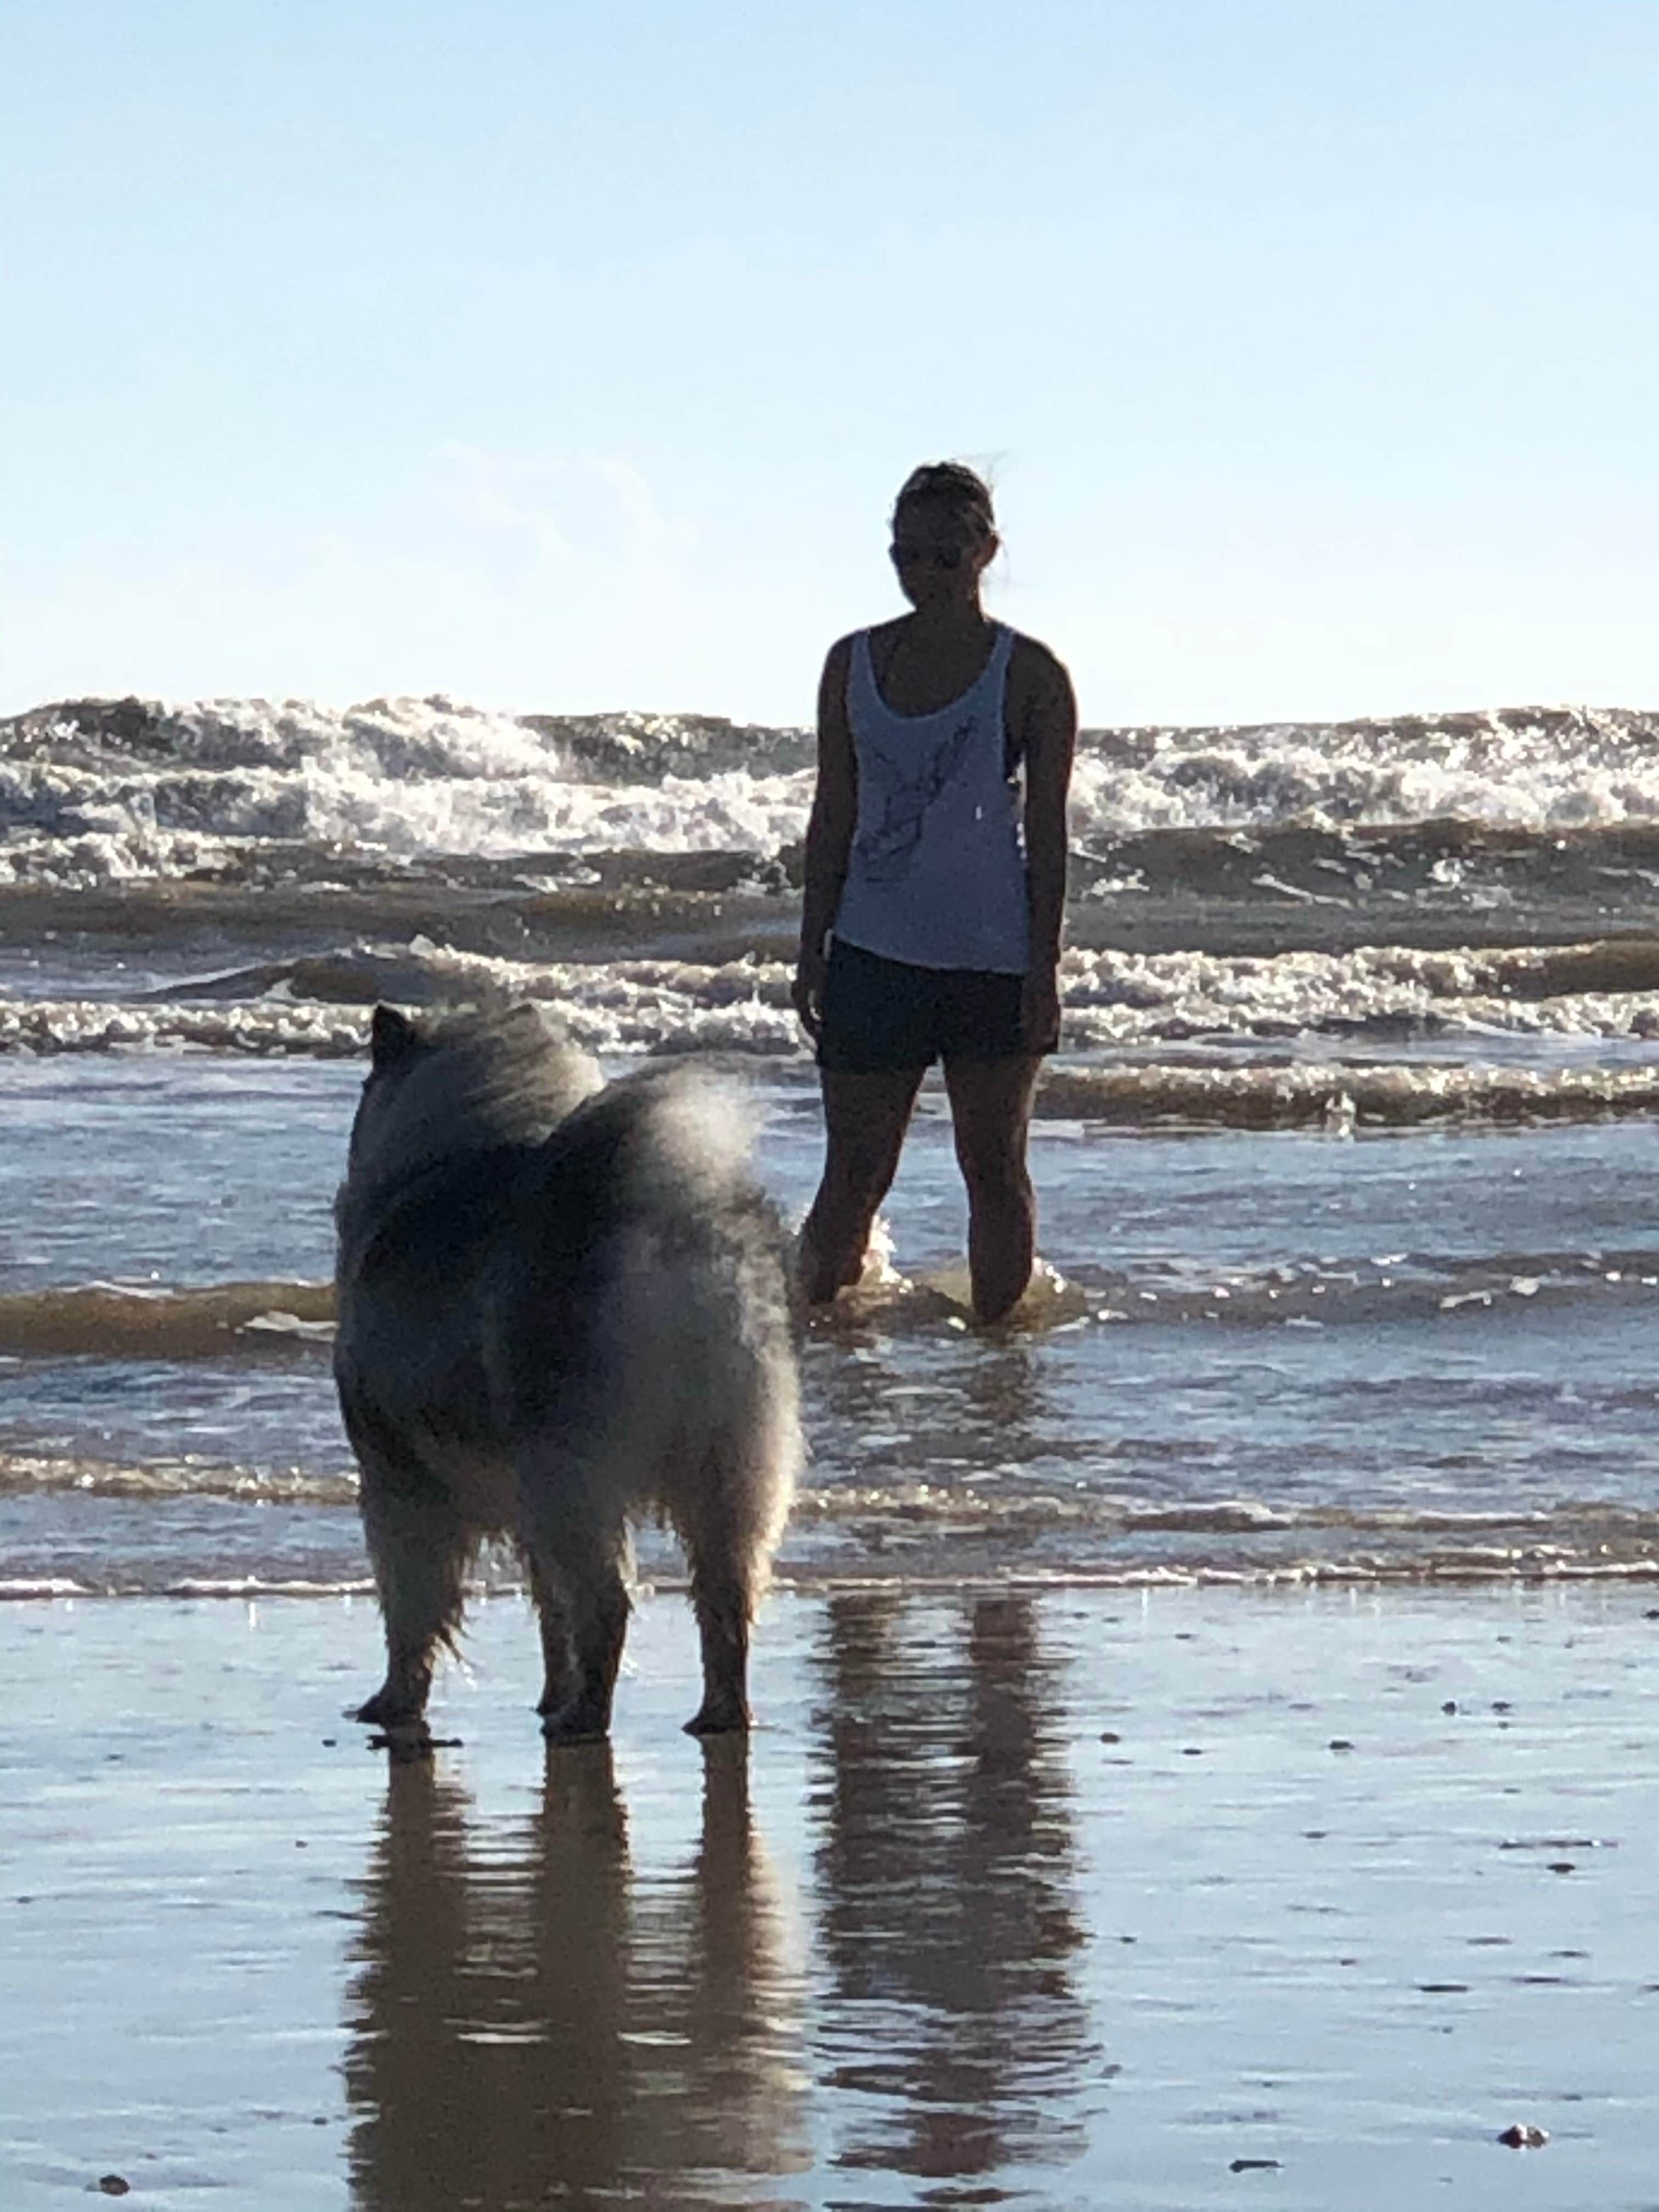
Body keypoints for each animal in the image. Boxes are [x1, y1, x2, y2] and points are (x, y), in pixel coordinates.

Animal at [334, 1004, 800, 1743]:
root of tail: (662, 1235)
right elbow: (550, 1616)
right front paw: (550, 1691)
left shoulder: (399, 1489)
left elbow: (412, 1618)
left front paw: (395, 1705)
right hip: (729, 1477)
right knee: (723, 1605)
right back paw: (713, 1717)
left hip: (570, 1484)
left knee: (609, 1606)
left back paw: (584, 1719)